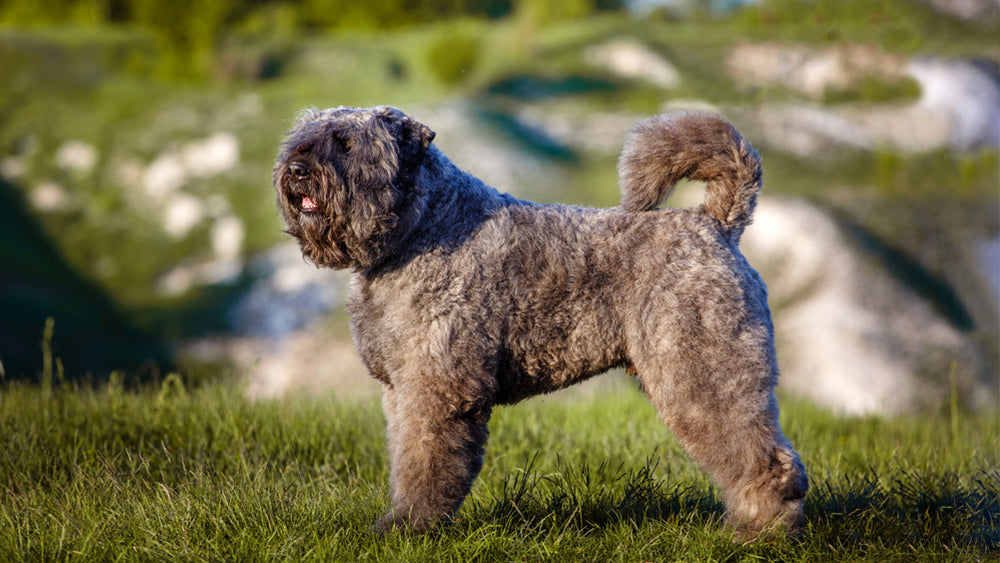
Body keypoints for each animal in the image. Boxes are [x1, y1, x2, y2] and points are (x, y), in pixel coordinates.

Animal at [270, 106, 808, 540]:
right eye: (303, 139)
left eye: (345, 143)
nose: (296, 170)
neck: (421, 226)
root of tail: (713, 223)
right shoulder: (402, 390)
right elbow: (406, 458)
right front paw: (402, 521)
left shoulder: (437, 389)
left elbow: (426, 464)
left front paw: (411, 528)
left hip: (702, 373)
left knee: (764, 458)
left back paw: (756, 532)